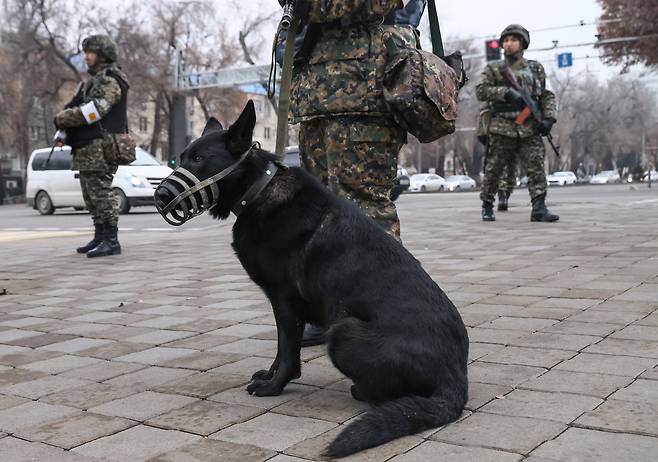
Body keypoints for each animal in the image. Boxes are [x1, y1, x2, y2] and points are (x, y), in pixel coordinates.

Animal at [154, 99, 466, 456]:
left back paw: (363, 392)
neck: (261, 190)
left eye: (198, 159)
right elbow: (281, 348)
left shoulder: (284, 301)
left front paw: (275, 386)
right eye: (182, 157)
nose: (159, 196)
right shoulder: (284, 305)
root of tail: (457, 382)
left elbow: (288, 350)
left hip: (343, 332)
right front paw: (270, 374)